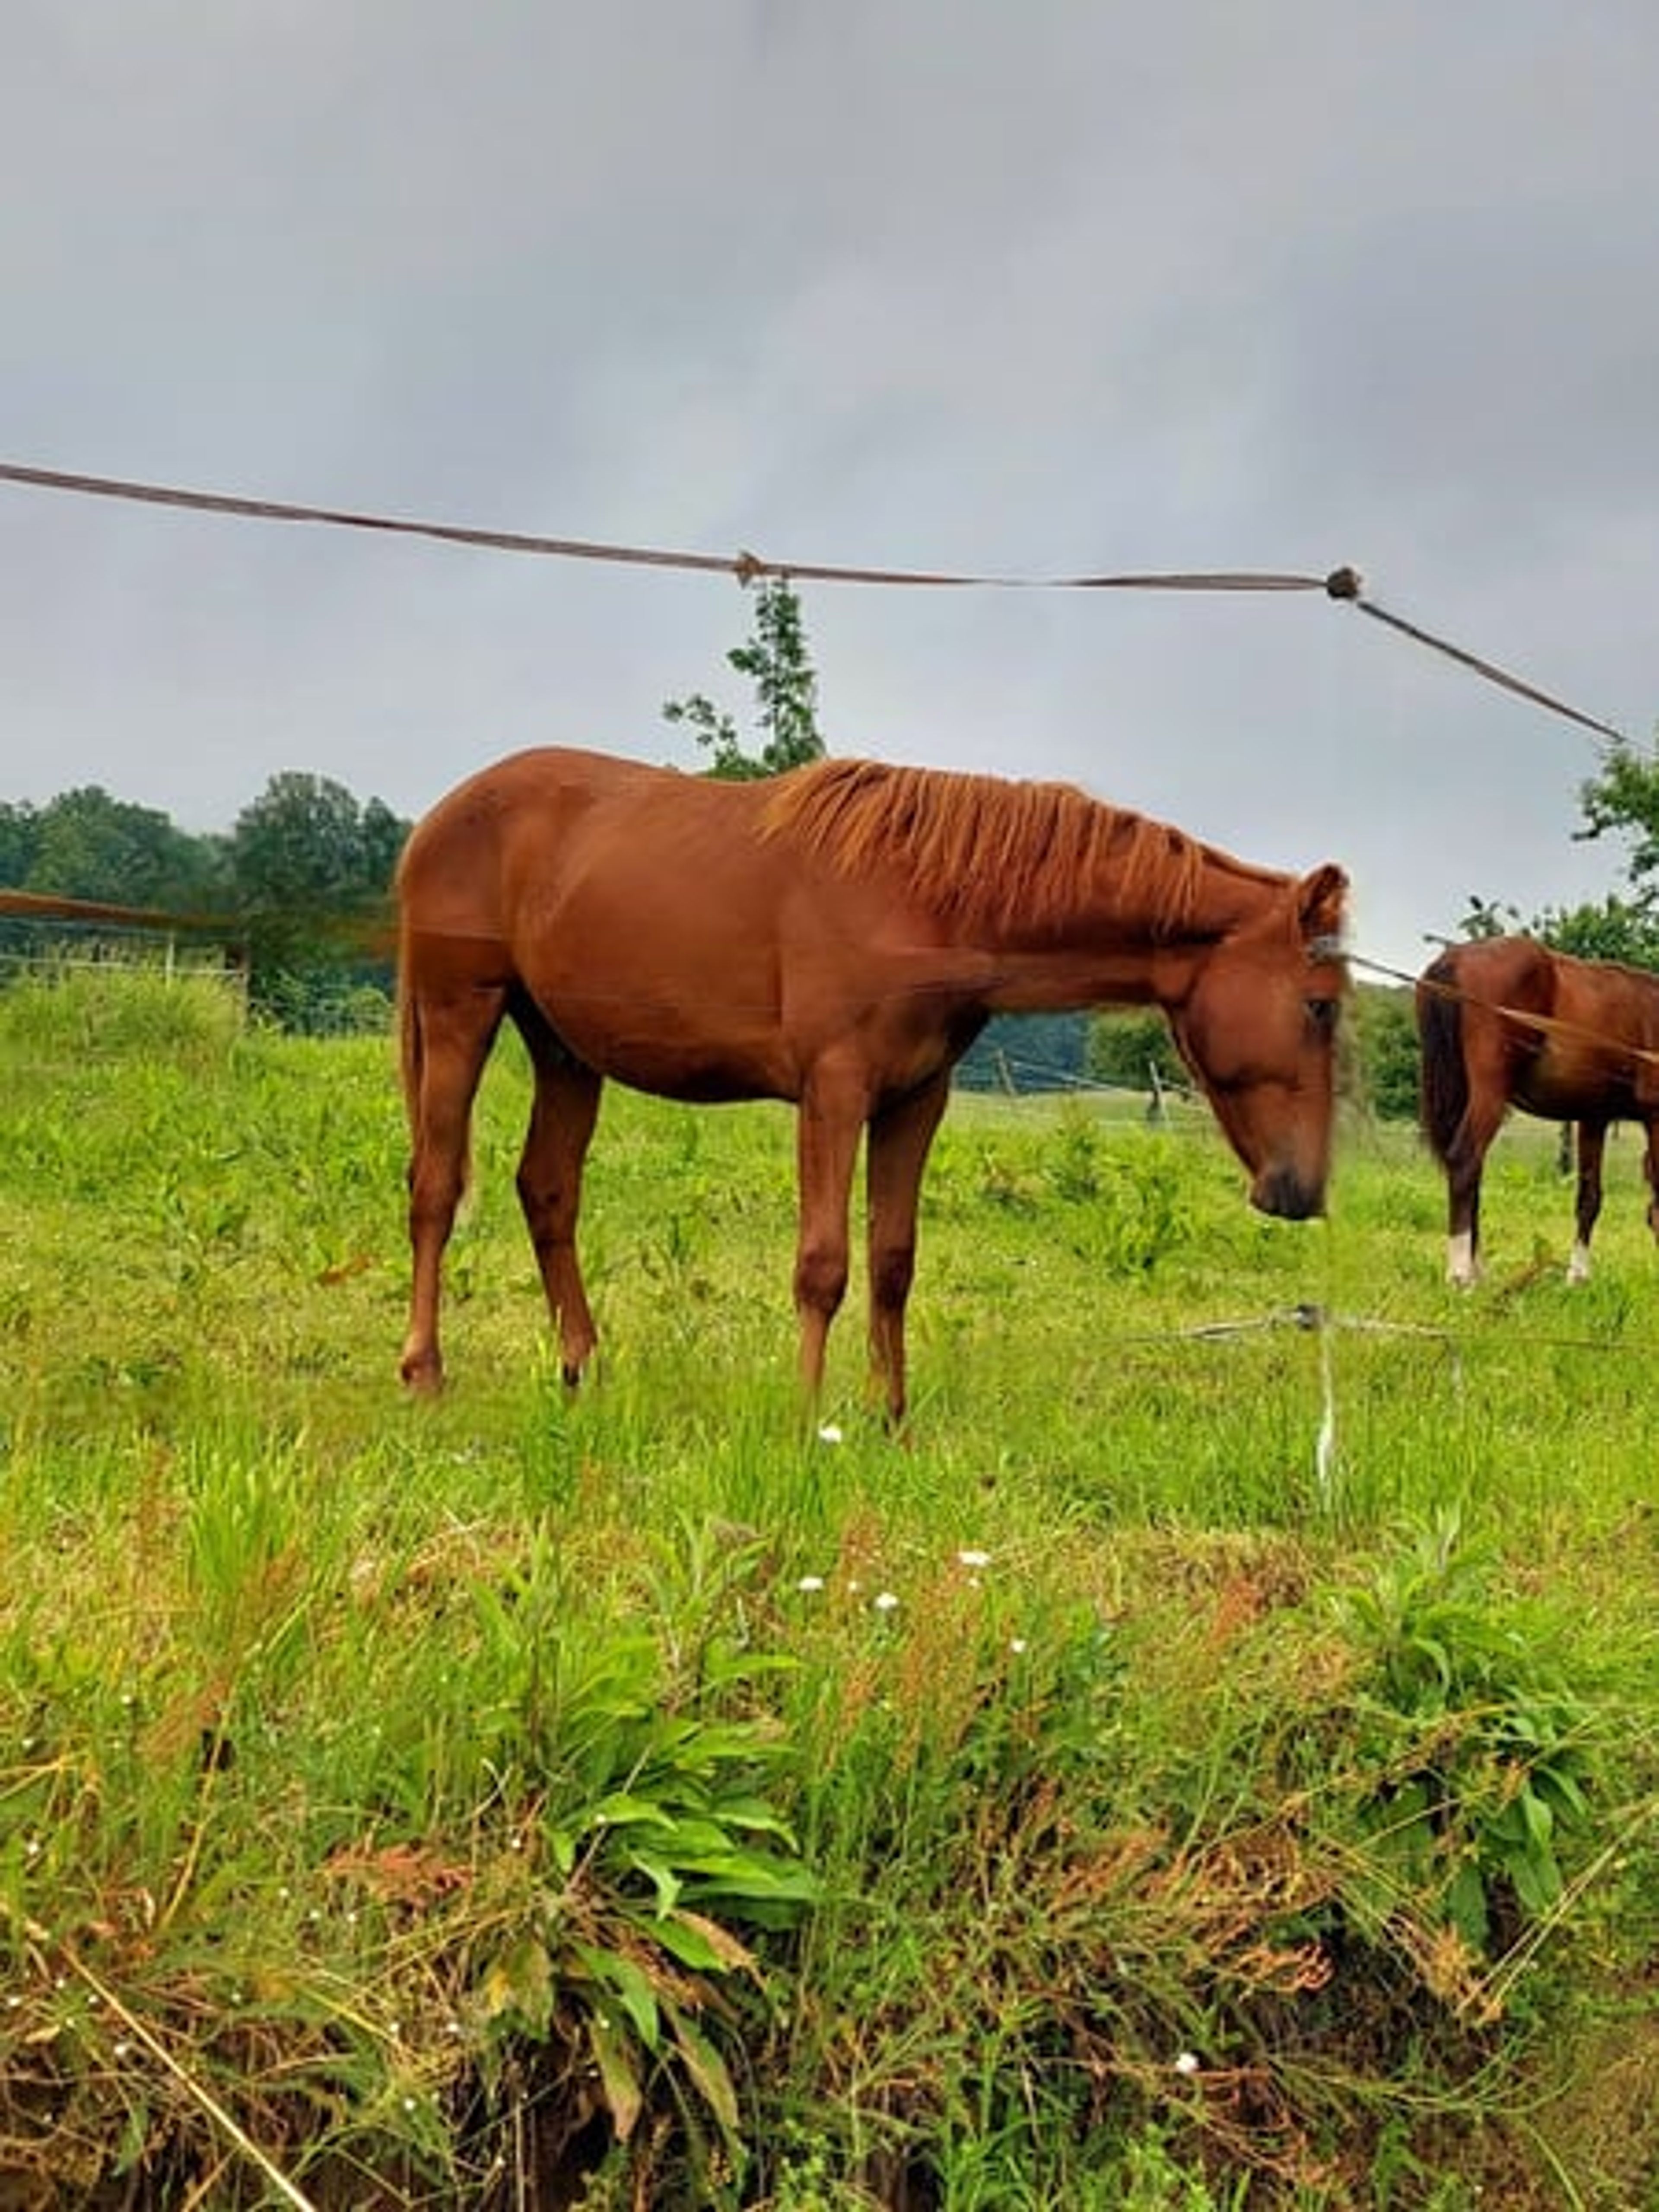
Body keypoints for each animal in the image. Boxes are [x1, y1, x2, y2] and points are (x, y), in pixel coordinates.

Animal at [396, 746, 1348, 1421]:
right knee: (436, 1187)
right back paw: (425, 1371)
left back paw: (581, 1368)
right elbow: (824, 1265)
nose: (1301, 1191)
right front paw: (807, 1417)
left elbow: (893, 1261)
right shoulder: (835, 1091)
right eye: (1320, 1005)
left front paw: (889, 1416)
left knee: (548, 1191)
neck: (931, 901)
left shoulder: (914, 1100)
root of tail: (441, 815)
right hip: (460, 1014)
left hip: (564, 1051)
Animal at [1416, 936, 1659, 1285]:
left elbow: (1590, 1197)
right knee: (1465, 1162)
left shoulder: (1594, 1118)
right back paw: (1462, 1274)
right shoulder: (1655, 1116)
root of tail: (1456, 958)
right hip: (1490, 1094)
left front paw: (1577, 1277)